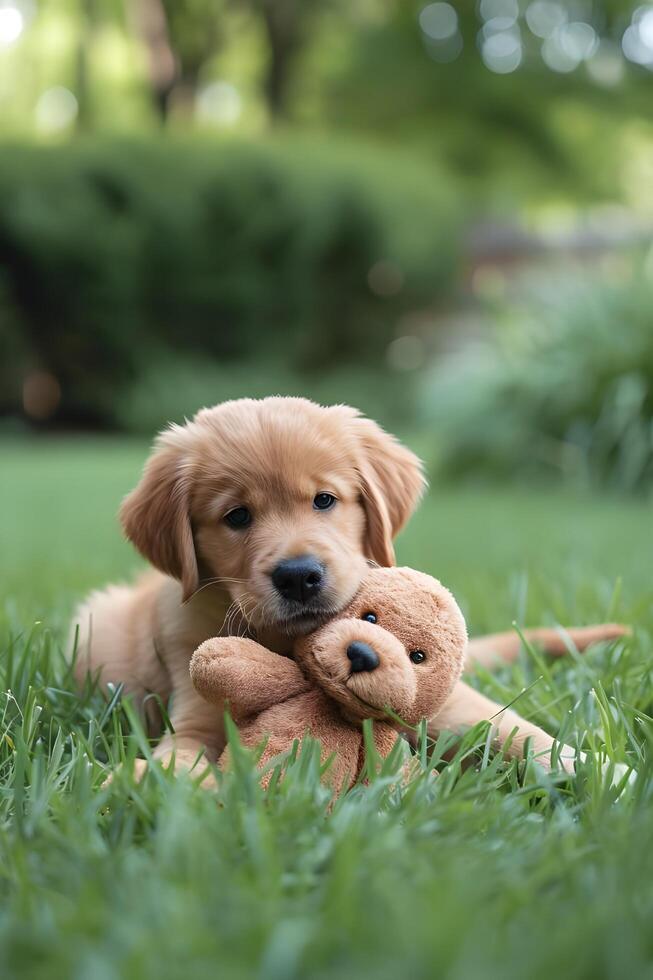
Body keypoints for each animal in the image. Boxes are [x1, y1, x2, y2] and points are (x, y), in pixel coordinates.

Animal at [70, 394, 620, 776]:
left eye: (324, 500)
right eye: (236, 516)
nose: (298, 576)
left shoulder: (446, 701)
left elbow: (516, 731)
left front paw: (607, 775)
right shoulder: (195, 708)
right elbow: (180, 757)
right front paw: (137, 784)